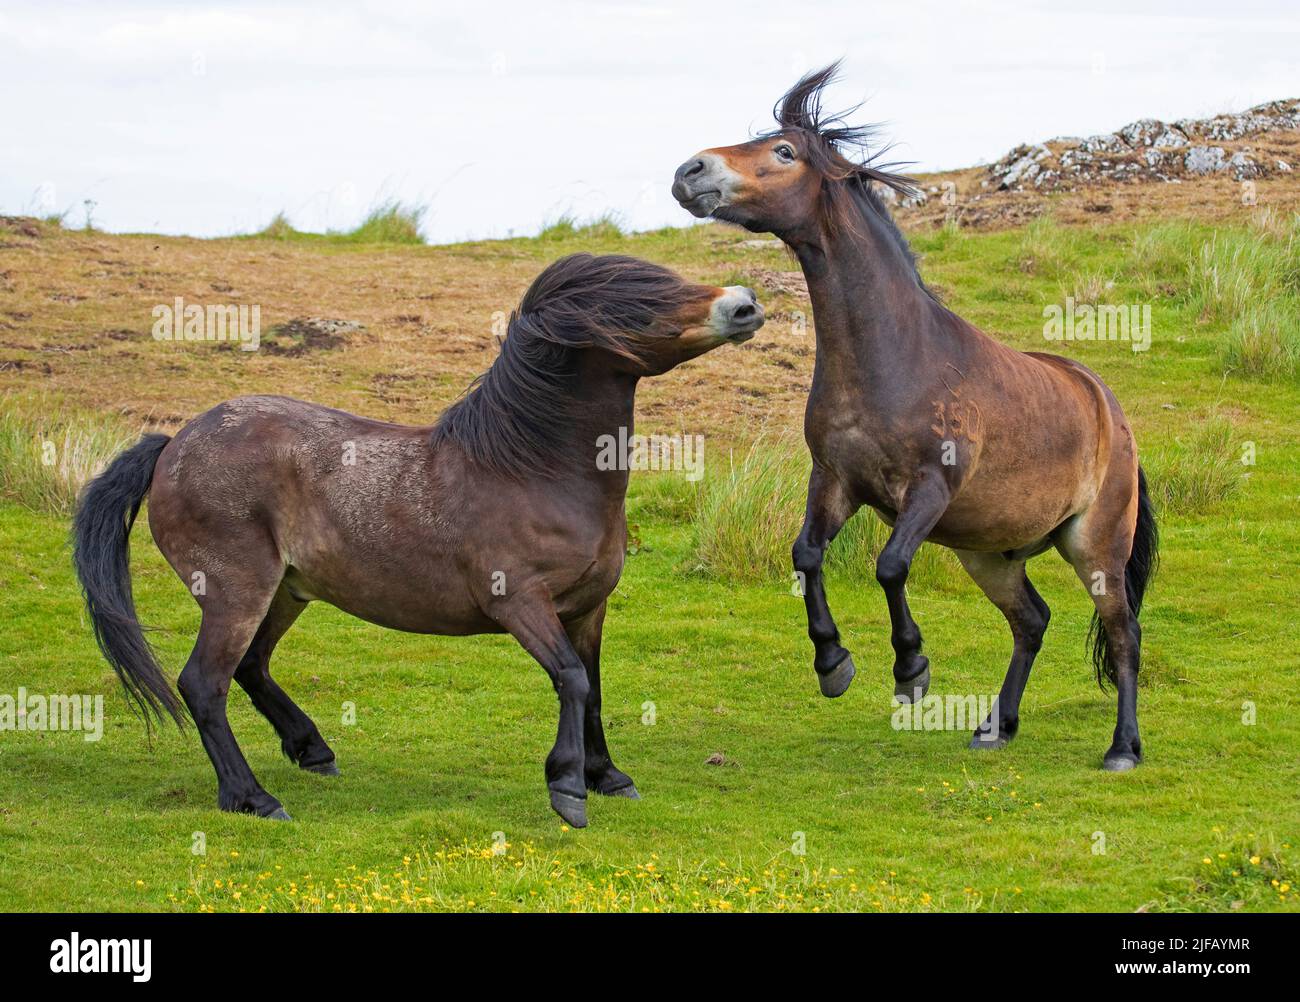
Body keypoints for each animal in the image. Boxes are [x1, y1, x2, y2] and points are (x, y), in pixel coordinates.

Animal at [73, 254, 759, 826]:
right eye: (638, 305)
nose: (745, 303)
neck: (533, 470)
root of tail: (172, 445)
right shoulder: (520, 604)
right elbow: (570, 678)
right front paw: (567, 788)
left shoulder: (589, 608)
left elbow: (592, 685)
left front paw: (608, 777)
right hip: (236, 592)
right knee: (203, 684)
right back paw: (252, 798)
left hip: (285, 593)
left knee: (249, 666)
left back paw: (312, 750)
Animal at [676, 64, 1154, 769]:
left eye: (784, 152)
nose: (690, 171)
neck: (895, 354)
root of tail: (1109, 410)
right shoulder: (836, 482)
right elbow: (806, 554)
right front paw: (833, 663)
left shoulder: (927, 490)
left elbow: (890, 567)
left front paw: (910, 670)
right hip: (990, 555)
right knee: (1032, 620)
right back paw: (995, 726)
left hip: (1095, 546)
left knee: (1123, 633)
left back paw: (1122, 748)